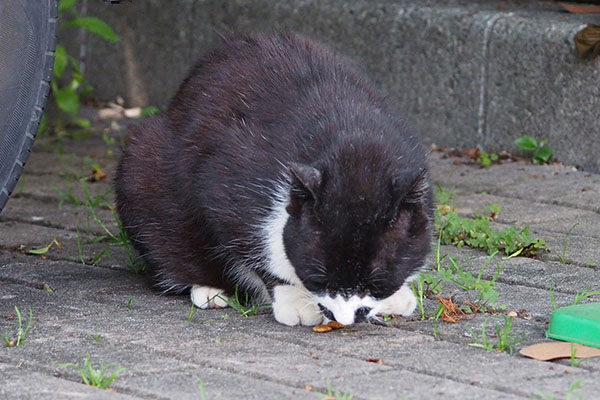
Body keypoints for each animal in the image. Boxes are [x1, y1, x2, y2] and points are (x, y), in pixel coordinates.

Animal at [113, 32, 432, 326]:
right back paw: (208, 288)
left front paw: (395, 295)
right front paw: (294, 299)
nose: (344, 318)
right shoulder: (222, 183)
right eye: (319, 276)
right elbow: (249, 239)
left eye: (377, 281)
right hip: (141, 160)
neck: (353, 139)